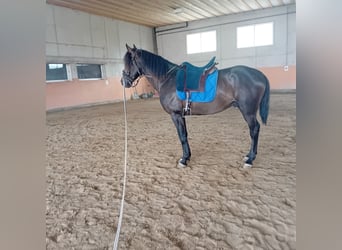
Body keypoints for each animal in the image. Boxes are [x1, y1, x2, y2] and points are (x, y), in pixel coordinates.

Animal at [121, 44, 268, 168]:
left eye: (129, 62)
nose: (123, 82)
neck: (167, 78)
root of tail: (259, 74)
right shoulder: (181, 115)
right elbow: (185, 134)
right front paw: (188, 156)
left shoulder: (175, 115)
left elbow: (181, 136)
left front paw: (183, 160)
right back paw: (248, 156)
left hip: (248, 112)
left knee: (254, 130)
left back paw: (250, 159)